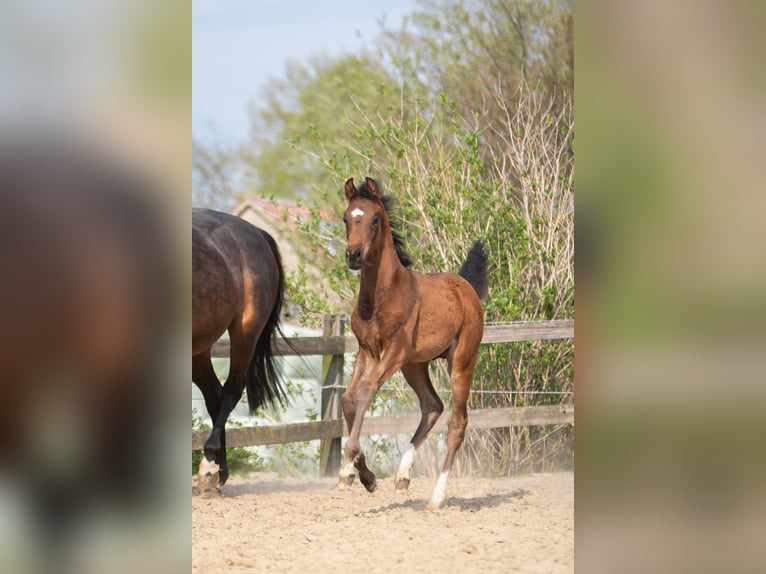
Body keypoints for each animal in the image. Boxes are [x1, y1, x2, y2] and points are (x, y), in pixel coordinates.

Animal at [192, 209, 292, 492]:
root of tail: (256, 232)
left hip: (245, 333)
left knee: (230, 391)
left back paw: (208, 467)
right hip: (199, 347)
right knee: (214, 396)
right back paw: (219, 473)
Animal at [340, 178, 488, 510]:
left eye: (374, 219)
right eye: (346, 218)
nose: (354, 255)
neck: (382, 295)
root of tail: (466, 288)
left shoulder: (393, 351)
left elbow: (366, 392)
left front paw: (351, 468)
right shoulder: (366, 350)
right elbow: (349, 399)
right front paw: (361, 474)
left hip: (461, 360)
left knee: (457, 422)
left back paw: (436, 497)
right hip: (416, 365)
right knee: (432, 405)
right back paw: (402, 476)